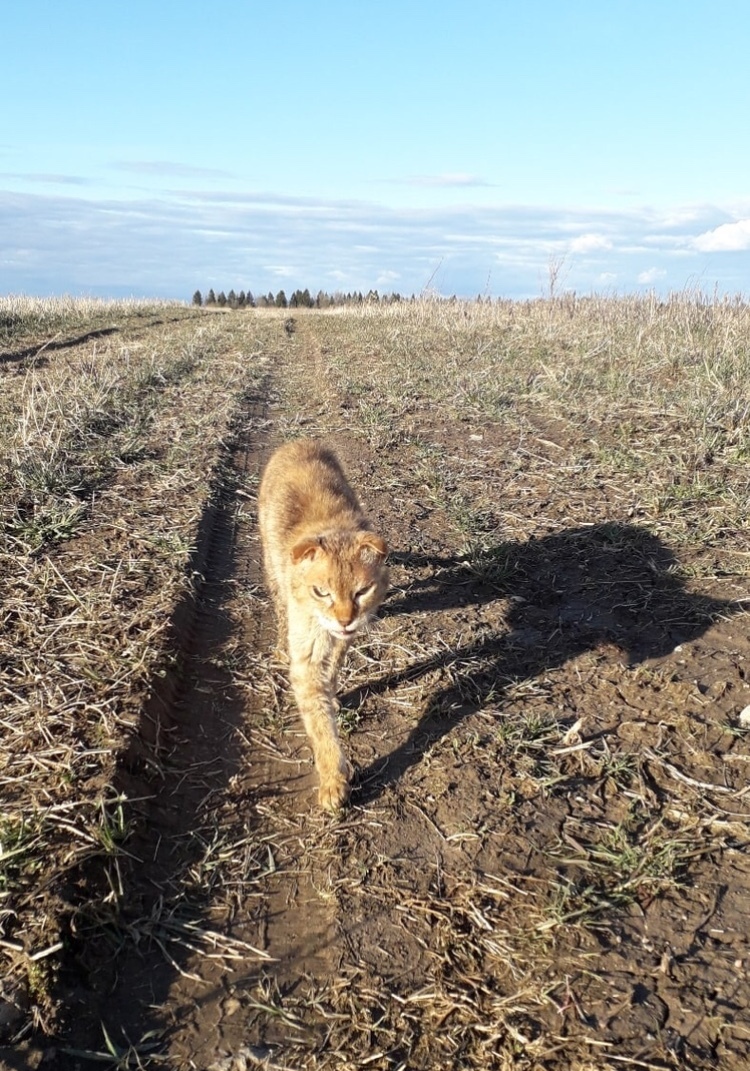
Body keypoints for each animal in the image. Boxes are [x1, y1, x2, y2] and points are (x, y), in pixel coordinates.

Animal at [258, 439, 390, 805]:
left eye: (362, 591)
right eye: (321, 592)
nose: (345, 619)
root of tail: (297, 441)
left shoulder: (345, 637)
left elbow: (333, 670)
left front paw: (332, 694)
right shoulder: (307, 658)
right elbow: (319, 721)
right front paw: (333, 778)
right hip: (272, 570)